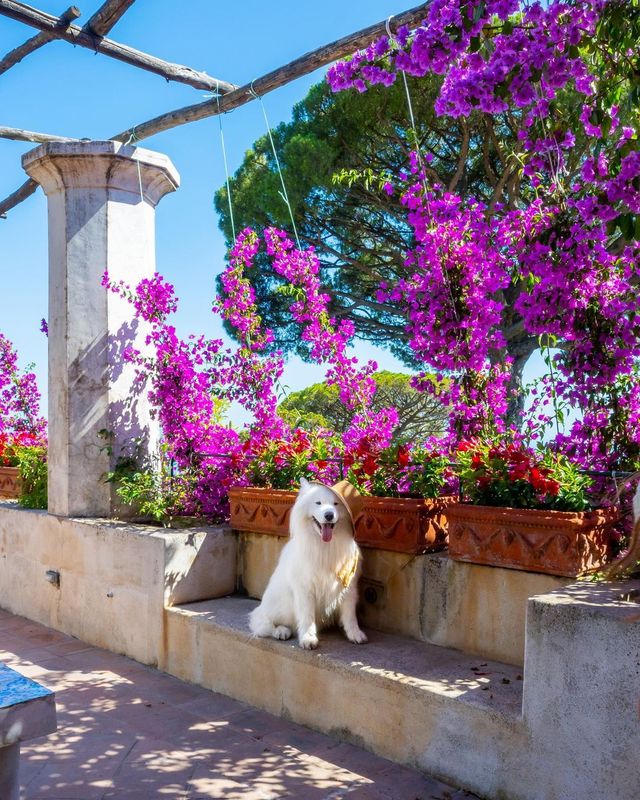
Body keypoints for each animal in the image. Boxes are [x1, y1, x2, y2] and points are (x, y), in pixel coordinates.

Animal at [251, 476, 370, 648]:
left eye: (336, 504)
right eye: (318, 503)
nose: (329, 515)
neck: (325, 546)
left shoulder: (348, 586)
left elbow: (350, 615)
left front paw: (355, 634)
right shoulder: (305, 588)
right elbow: (307, 616)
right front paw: (308, 638)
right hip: (282, 604)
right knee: (264, 623)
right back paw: (281, 631)